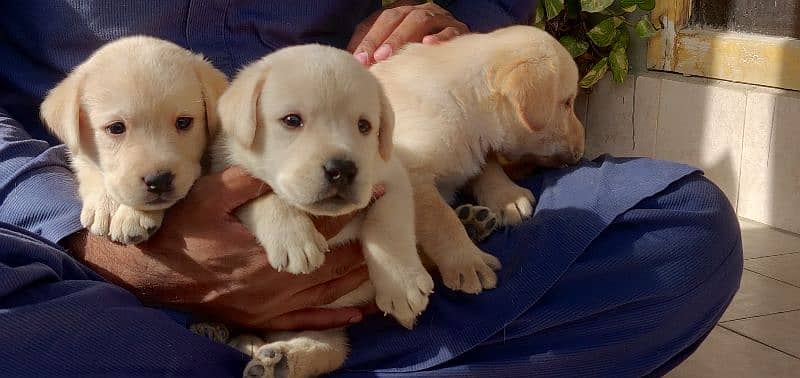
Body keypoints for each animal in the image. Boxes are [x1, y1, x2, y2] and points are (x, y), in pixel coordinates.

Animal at [41, 36, 228, 245]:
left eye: (183, 122)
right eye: (116, 128)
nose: (159, 181)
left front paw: (131, 215)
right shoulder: (78, 154)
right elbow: (88, 165)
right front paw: (105, 204)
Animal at [211, 43, 432, 378]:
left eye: (364, 126)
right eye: (292, 120)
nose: (342, 169)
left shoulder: (391, 175)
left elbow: (387, 224)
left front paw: (401, 286)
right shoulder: (228, 175)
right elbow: (267, 196)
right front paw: (294, 240)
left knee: (329, 349)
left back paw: (280, 360)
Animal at [370, 25, 588, 294]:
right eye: (567, 103)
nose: (582, 149)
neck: (464, 102)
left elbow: (487, 167)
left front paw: (507, 197)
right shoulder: (411, 174)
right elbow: (441, 221)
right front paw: (468, 262)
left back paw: (473, 222)